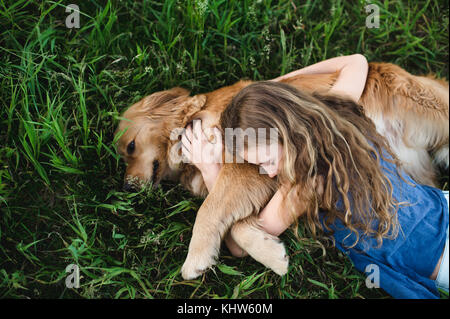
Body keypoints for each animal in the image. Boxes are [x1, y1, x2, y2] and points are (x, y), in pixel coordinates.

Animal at [115, 62, 446, 280]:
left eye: (130, 146)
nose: (127, 187)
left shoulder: (245, 167)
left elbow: (208, 210)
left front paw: (195, 257)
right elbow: (236, 225)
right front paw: (271, 253)